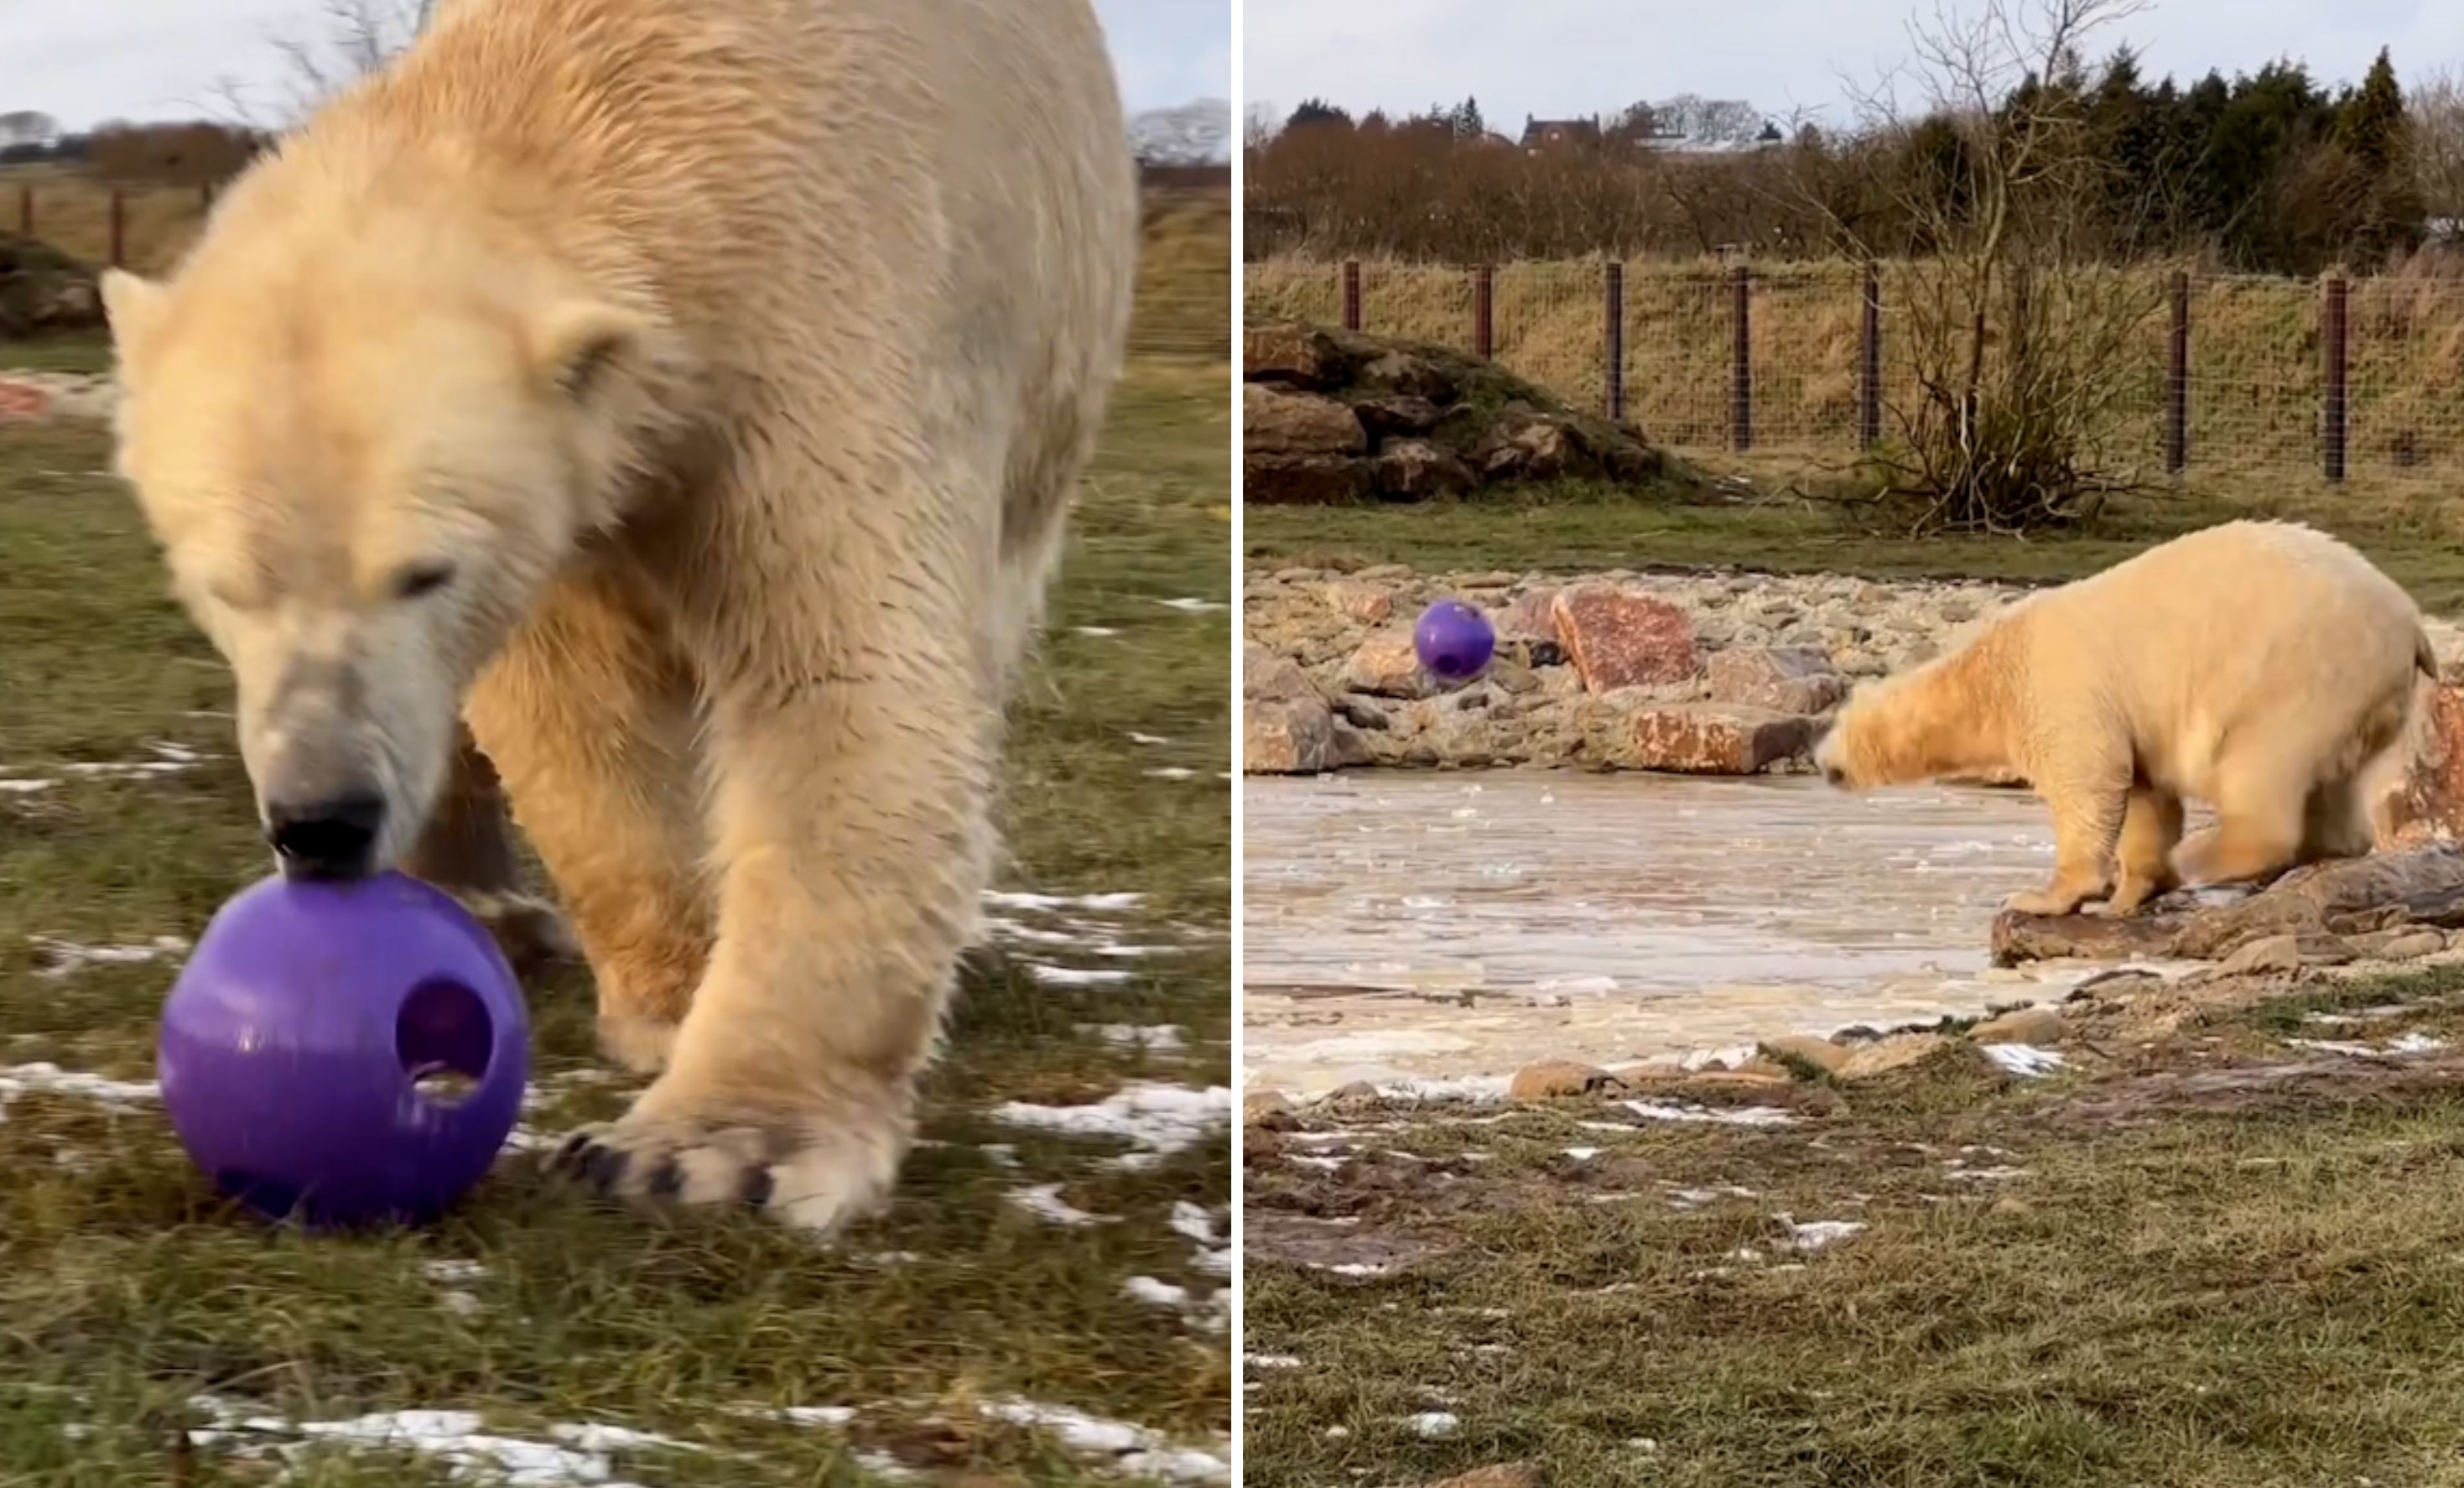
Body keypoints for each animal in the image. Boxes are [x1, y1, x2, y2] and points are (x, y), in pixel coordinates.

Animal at [95, 0, 1141, 1231]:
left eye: (426, 572)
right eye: (226, 583)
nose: (323, 820)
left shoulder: (827, 323)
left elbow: (837, 673)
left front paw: (711, 1148)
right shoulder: (576, 506)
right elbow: (566, 704)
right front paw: (663, 993)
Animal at [1815, 520, 2434, 918]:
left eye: (1835, 729)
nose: (1822, 765)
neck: (1991, 673)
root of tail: (2410, 624)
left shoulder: (2062, 691)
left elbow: (2089, 784)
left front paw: (2044, 897)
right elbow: (2145, 796)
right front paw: (2129, 895)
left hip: (2294, 675)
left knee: (2259, 768)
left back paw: (2207, 856)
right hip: (2359, 700)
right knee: (2339, 784)